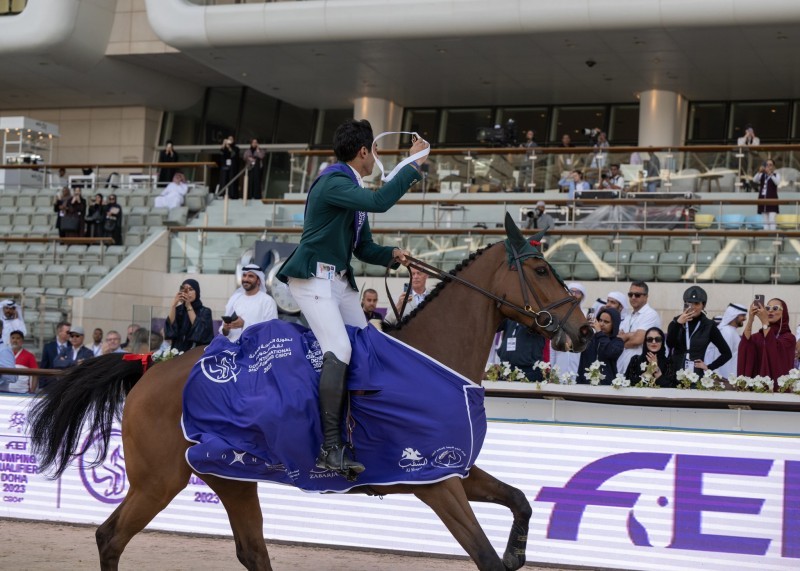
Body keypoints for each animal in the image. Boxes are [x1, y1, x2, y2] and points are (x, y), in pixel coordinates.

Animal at [28, 214, 592, 571]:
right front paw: (507, 555)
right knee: (110, 538)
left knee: (252, 553)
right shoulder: (436, 481)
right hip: (159, 481)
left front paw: (519, 552)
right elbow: (485, 557)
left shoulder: (453, 468)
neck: (431, 357)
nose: (584, 331)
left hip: (230, 476)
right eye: (541, 269)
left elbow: (520, 502)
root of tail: (151, 370)